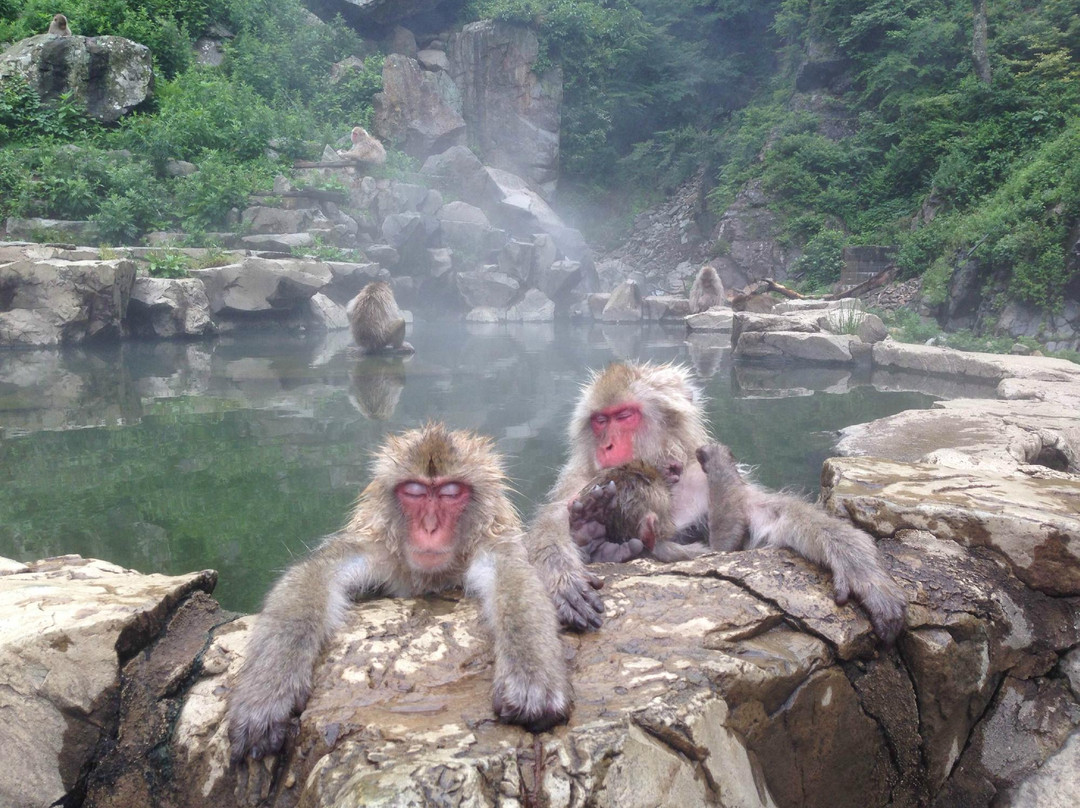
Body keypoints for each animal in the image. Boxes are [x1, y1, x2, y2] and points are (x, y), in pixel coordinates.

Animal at [227, 423, 571, 762]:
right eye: (414, 492)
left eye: (450, 492)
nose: (430, 527)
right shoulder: (379, 546)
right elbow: (317, 570)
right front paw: (266, 694)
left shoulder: (489, 542)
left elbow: (513, 576)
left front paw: (530, 679)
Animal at [526, 361, 906, 644]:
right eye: (600, 420)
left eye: (624, 416)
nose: (606, 446)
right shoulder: (579, 480)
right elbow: (553, 520)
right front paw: (560, 577)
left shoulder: (695, 473)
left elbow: (765, 515)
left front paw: (856, 563)